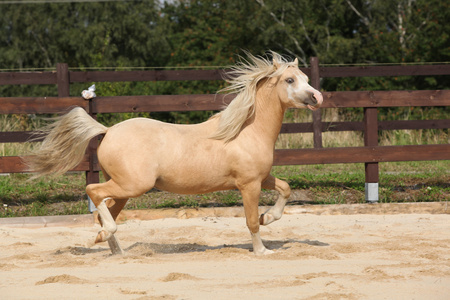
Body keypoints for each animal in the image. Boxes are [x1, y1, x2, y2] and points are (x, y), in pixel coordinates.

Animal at [27, 52, 324, 255]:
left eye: (307, 79)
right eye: (290, 79)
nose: (317, 98)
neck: (246, 131)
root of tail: (108, 130)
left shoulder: (261, 178)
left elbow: (285, 188)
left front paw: (269, 217)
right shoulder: (249, 185)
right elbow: (251, 221)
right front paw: (263, 250)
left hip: (124, 189)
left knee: (105, 210)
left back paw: (115, 250)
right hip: (133, 185)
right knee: (94, 192)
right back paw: (107, 238)